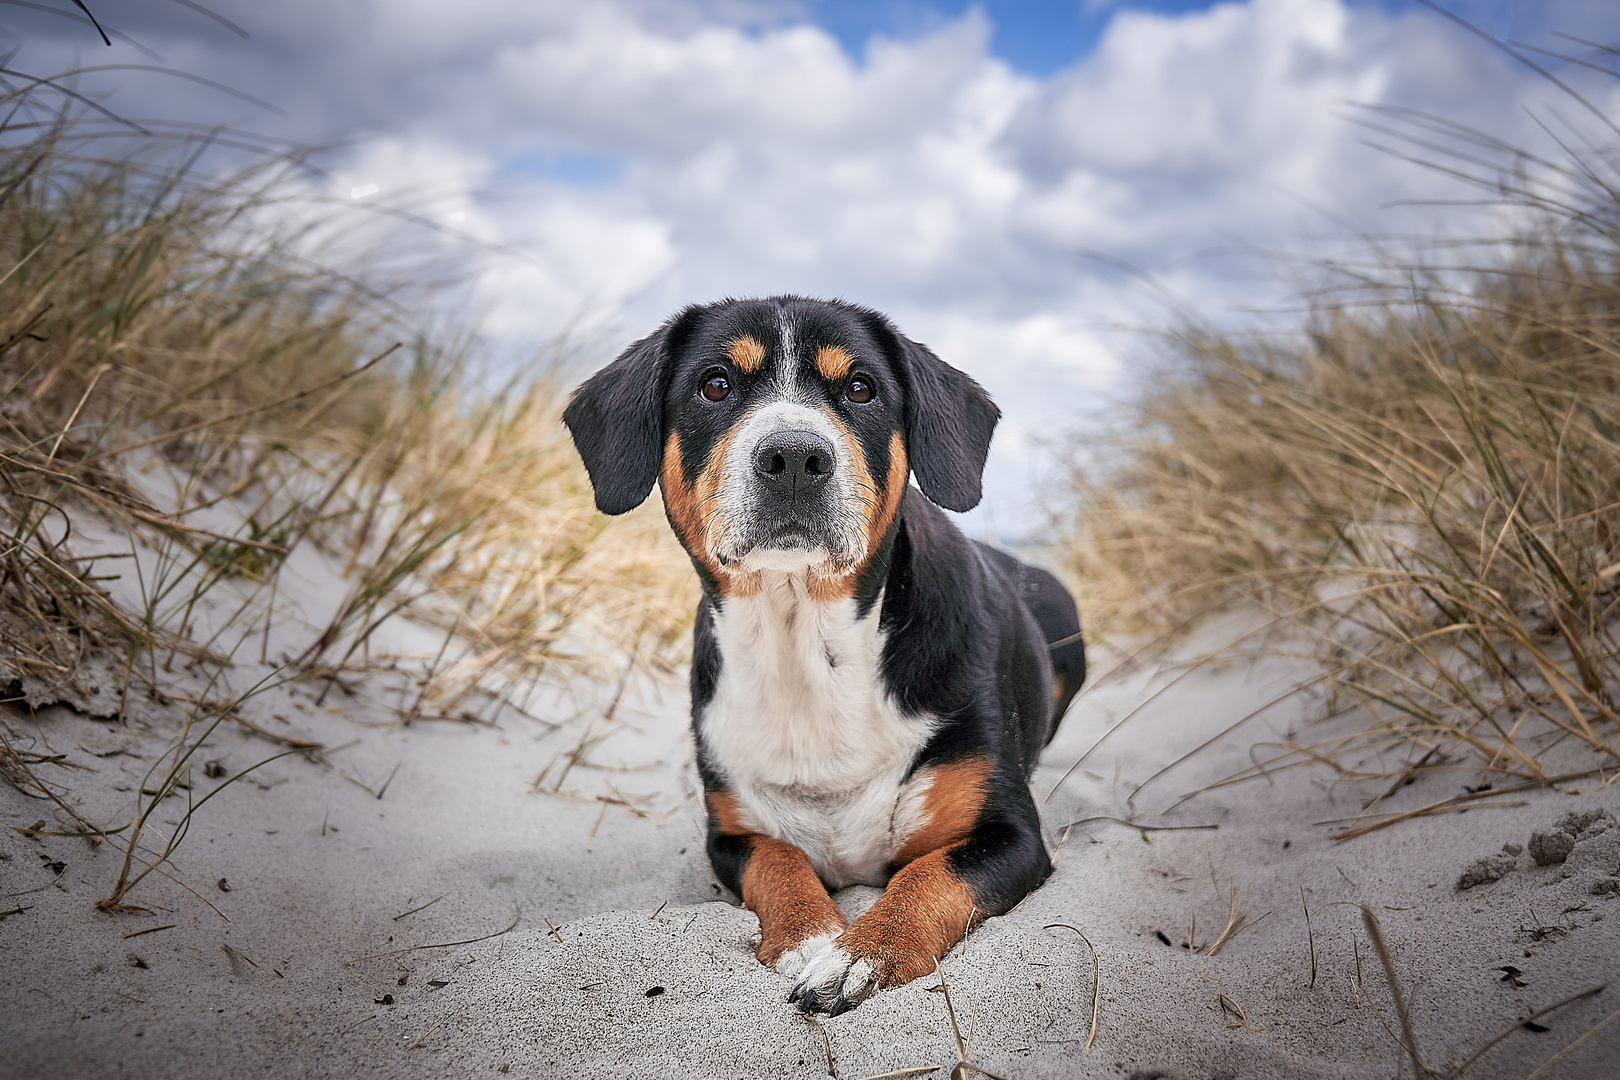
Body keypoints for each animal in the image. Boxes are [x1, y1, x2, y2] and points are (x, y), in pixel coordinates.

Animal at [563, 296, 1082, 1016]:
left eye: (860, 388)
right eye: (715, 384)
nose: (793, 456)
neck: (805, 644)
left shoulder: (1011, 835)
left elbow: (929, 874)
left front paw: (863, 953)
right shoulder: (731, 833)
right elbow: (778, 863)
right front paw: (811, 937)